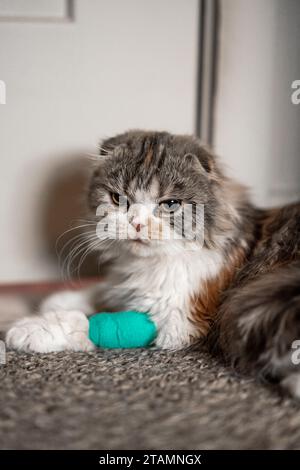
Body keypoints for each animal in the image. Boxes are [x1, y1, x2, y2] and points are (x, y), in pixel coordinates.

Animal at [5, 131, 300, 396]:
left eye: (170, 204)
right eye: (118, 199)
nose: (137, 224)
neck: (148, 264)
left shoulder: (178, 320)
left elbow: (88, 321)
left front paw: (29, 328)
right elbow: (103, 291)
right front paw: (58, 300)